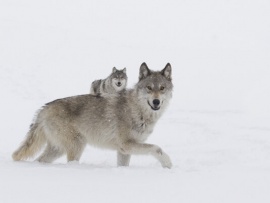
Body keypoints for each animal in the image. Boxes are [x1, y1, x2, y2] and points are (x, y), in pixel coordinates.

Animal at [12, 63, 173, 168]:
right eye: (149, 88)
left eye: (162, 88)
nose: (156, 102)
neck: (138, 109)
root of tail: (44, 108)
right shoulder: (126, 145)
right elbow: (157, 148)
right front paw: (167, 163)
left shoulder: (124, 150)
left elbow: (123, 165)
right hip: (77, 145)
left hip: (58, 149)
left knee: (39, 160)